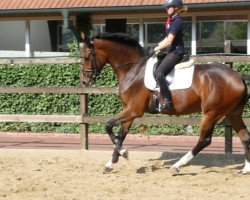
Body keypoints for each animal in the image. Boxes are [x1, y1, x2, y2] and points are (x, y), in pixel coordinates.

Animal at [80, 32, 250, 173]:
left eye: (87, 57)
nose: (84, 81)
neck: (134, 69)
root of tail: (238, 76)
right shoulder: (130, 111)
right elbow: (121, 135)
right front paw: (110, 163)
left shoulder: (133, 110)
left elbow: (108, 126)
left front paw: (124, 153)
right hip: (233, 113)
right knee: (245, 137)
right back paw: (245, 169)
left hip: (211, 113)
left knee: (204, 140)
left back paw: (178, 165)